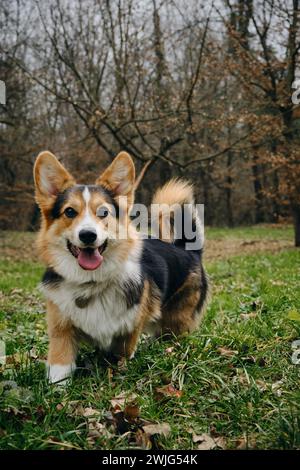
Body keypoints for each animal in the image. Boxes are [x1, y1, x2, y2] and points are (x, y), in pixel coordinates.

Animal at [32, 152, 206, 384]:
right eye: (69, 211)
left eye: (103, 212)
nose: (88, 235)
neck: (91, 281)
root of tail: (187, 249)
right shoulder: (61, 329)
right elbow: (59, 366)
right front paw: (56, 389)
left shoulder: (129, 329)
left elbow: (121, 355)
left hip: (176, 321)